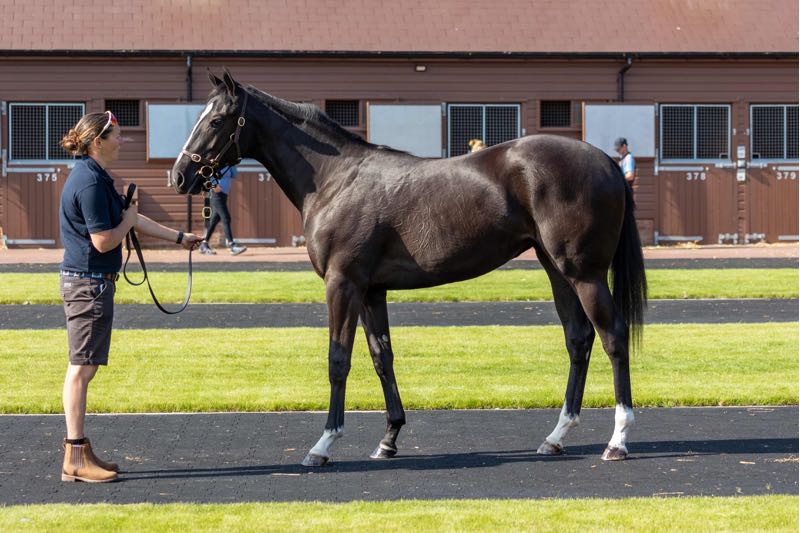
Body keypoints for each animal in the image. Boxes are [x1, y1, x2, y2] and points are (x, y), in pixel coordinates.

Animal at [171, 70, 647, 467]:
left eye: (217, 121)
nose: (179, 176)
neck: (334, 179)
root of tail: (605, 161)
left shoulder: (342, 284)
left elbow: (338, 359)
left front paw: (323, 445)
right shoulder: (370, 290)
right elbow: (382, 357)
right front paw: (388, 439)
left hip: (583, 273)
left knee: (613, 336)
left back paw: (618, 440)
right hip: (555, 268)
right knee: (578, 339)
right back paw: (556, 436)